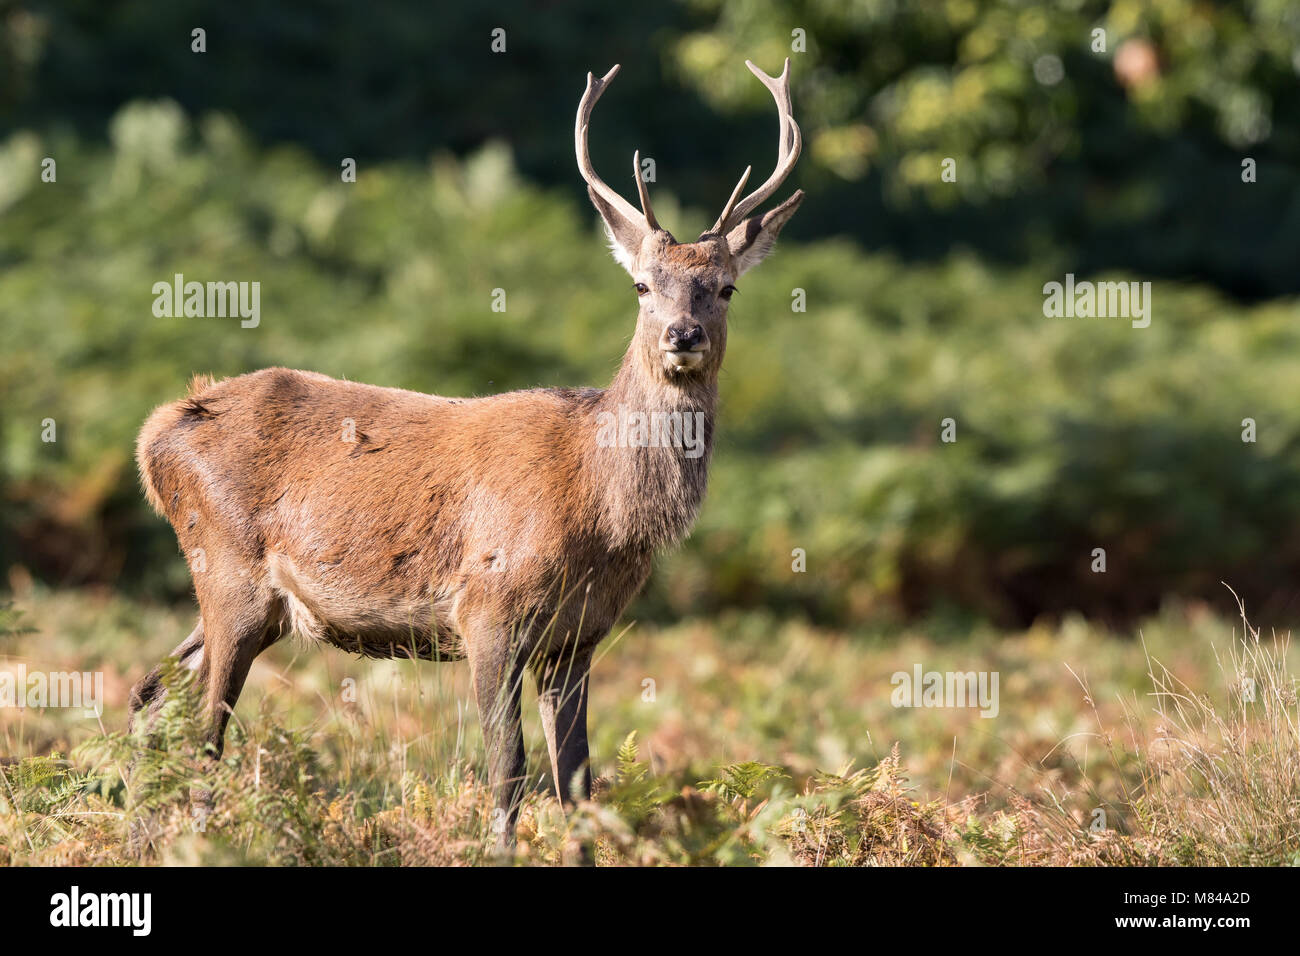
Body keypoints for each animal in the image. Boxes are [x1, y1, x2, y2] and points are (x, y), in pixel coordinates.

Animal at [129, 59, 802, 850]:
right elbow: (509, 766)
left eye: (726, 288)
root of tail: (154, 437)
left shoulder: (579, 635)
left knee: (151, 693)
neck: (599, 507)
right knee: (204, 729)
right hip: (226, 565)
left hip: (247, 600)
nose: (683, 335)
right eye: (641, 285)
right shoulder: (486, 605)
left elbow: (577, 780)